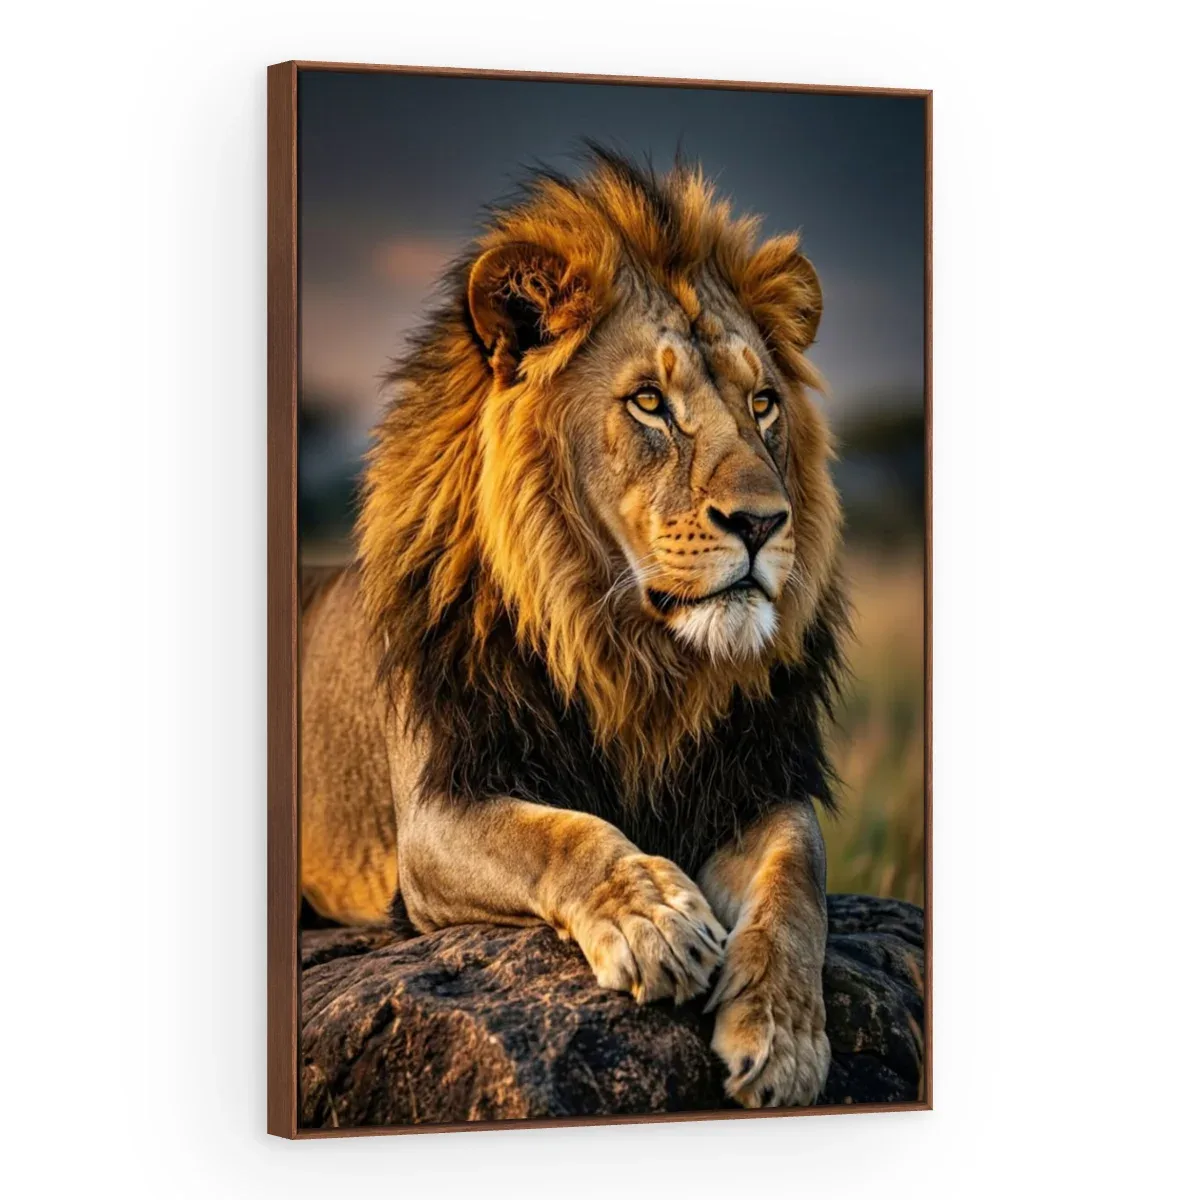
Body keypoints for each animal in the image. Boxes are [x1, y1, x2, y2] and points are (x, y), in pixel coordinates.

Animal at [300, 148, 846, 1110]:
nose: (762, 522)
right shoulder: (438, 812)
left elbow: (796, 883)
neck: (632, 654)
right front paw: (657, 920)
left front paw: (782, 1037)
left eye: (763, 404)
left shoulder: (757, 778)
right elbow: (559, 834)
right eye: (650, 403)